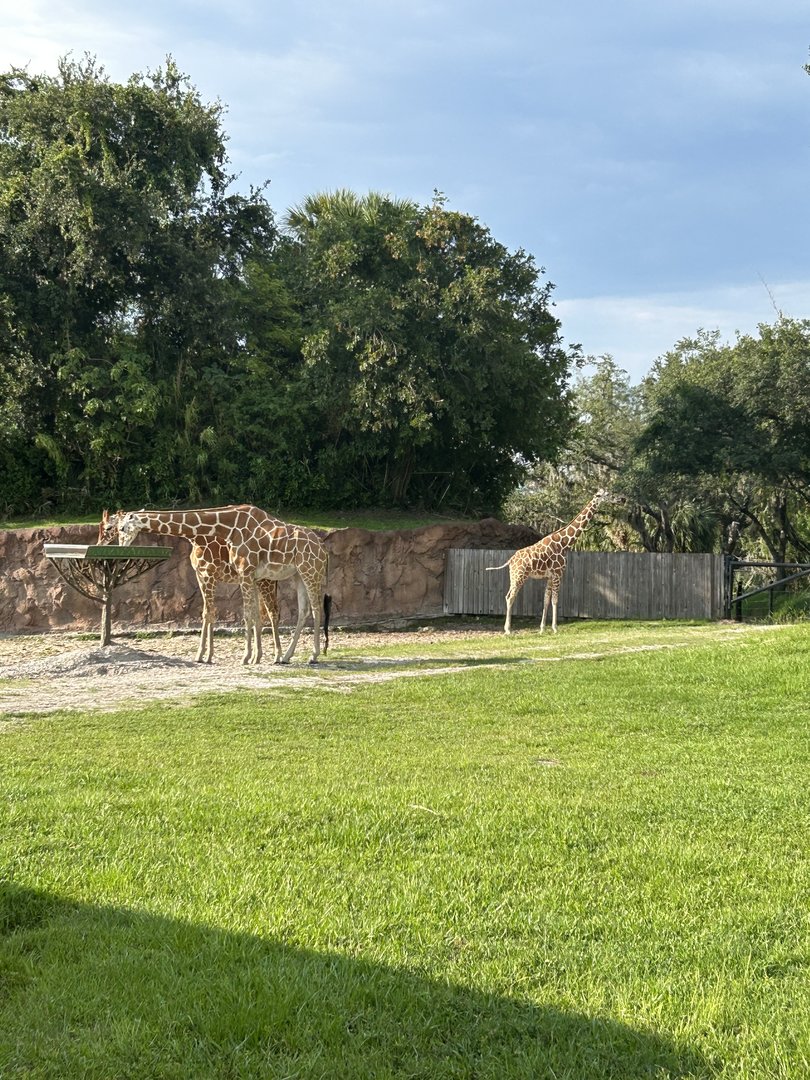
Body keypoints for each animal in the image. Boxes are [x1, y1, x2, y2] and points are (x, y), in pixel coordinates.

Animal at [99, 505, 331, 665]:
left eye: (118, 527)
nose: (119, 549)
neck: (227, 527)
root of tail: (322, 547)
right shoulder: (222, 575)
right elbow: (216, 613)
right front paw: (247, 656)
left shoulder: (235, 573)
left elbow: (244, 614)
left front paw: (242, 657)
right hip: (297, 574)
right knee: (302, 610)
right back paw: (286, 656)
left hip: (309, 571)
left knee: (312, 609)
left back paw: (310, 655)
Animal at [486, 489, 609, 635]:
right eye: (603, 495)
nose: (618, 499)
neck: (564, 543)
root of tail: (510, 560)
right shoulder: (558, 574)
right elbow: (555, 600)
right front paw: (555, 628)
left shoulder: (550, 576)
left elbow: (546, 600)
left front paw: (542, 628)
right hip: (519, 576)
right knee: (510, 597)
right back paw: (508, 630)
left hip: (514, 576)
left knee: (507, 596)